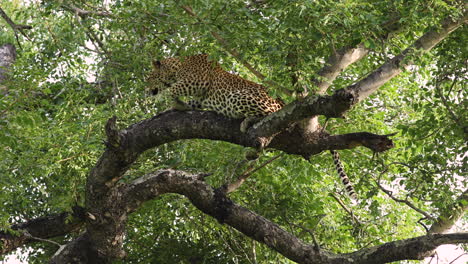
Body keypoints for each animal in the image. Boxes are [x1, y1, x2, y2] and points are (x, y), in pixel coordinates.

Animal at [148, 54, 356, 199]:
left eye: (149, 76)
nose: (147, 89)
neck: (177, 67)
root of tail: (281, 102)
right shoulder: (198, 96)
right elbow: (189, 102)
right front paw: (175, 105)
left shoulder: (196, 81)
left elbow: (173, 89)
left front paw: (162, 98)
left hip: (239, 97)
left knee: (269, 117)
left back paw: (248, 122)